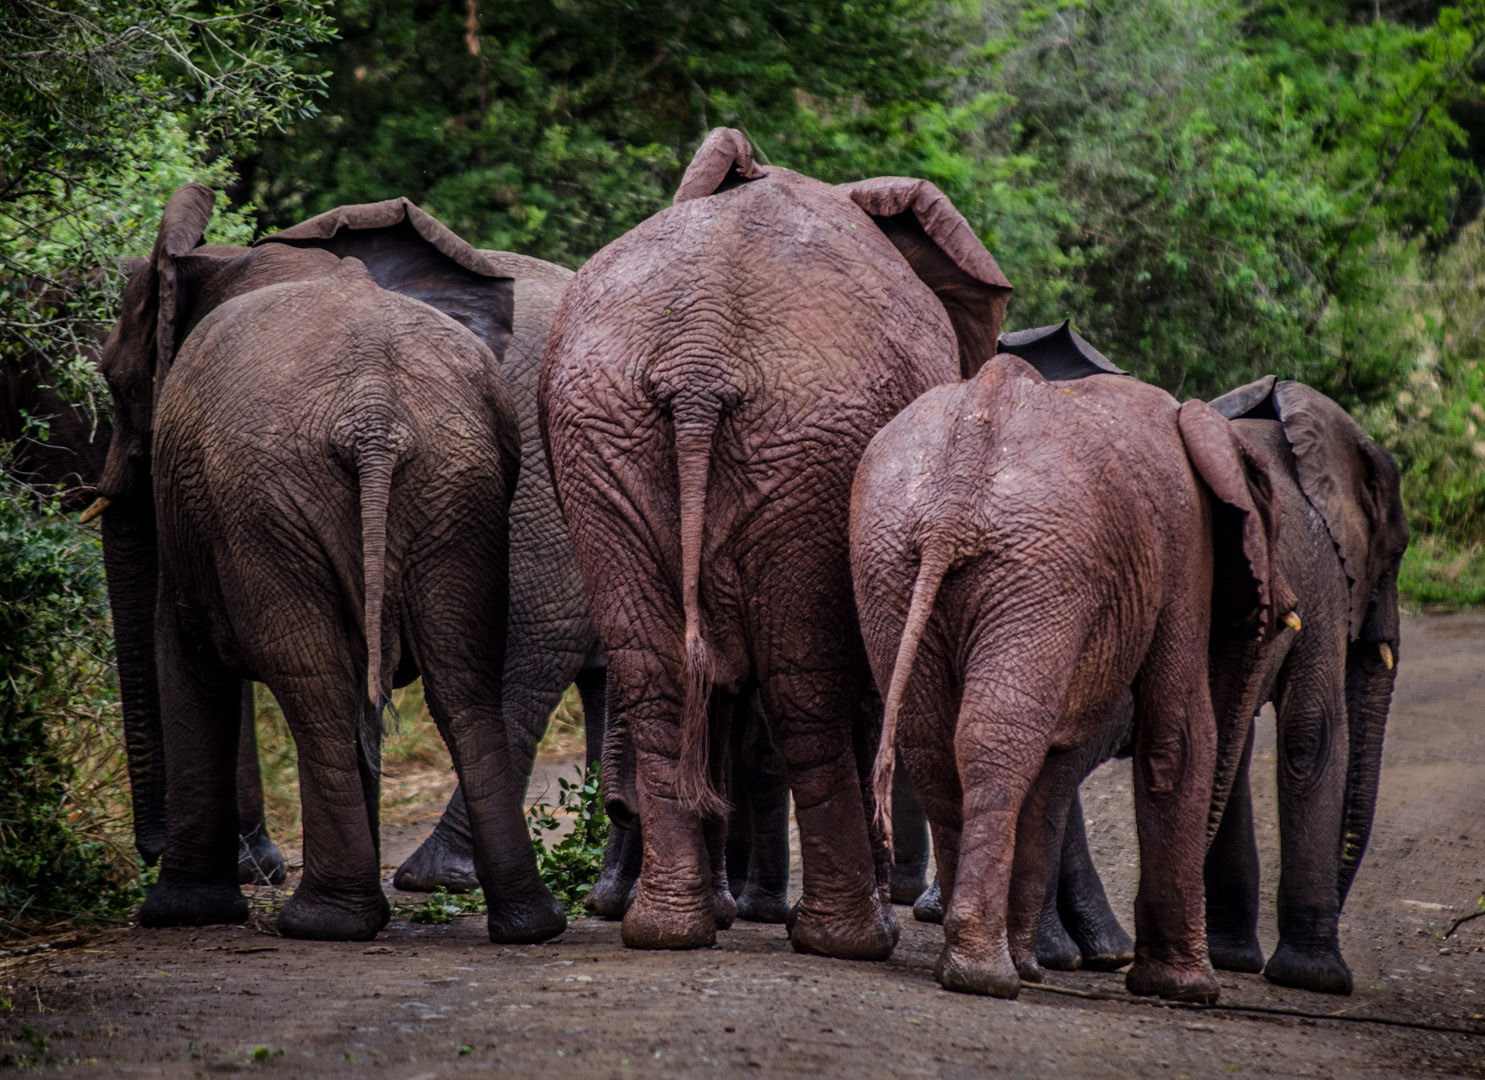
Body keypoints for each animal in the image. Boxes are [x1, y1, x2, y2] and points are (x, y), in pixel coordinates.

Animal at [92, 181, 564, 944]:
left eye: (113, 381)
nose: (146, 849)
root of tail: (375, 415)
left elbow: (183, 655)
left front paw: (180, 913)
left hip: (266, 498)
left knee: (314, 682)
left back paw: (324, 922)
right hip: (457, 483)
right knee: (461, 682)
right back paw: (527, 924)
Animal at [534, 128, 1009, 962]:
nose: (616, 810)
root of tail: (697, 366)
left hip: (606, 431)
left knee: (658, 671)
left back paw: (667, 930)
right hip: (808, 450)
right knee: (804, 686)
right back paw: (850, 940)